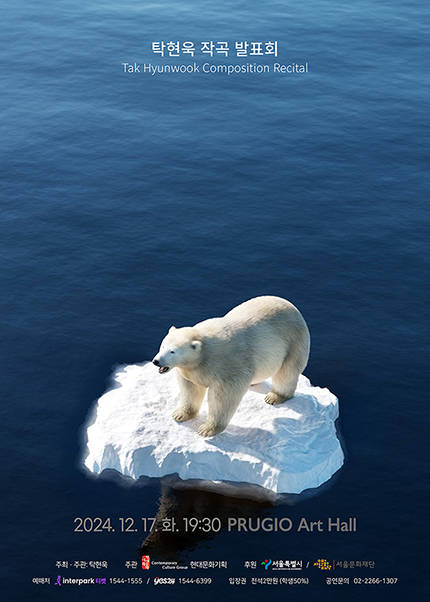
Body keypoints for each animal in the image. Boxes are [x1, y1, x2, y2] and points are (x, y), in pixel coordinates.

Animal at [153, 292, 310, 434]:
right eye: (162, 345)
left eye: (172, 351)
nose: (156, 361)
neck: (205, 352)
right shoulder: (191, 370)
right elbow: (190, 389)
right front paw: (180, 414)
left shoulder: (229, 365)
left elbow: (223, 397)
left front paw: (207, 429)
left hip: (293, 341)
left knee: (287, 372)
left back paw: (275, 396)